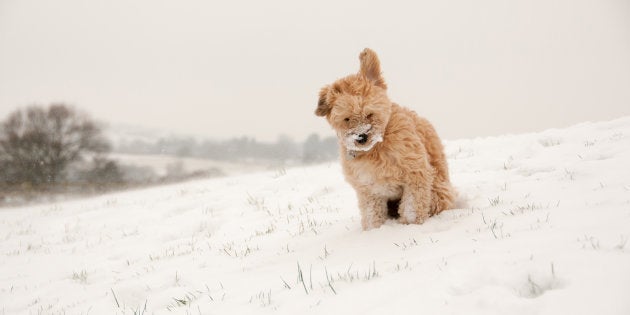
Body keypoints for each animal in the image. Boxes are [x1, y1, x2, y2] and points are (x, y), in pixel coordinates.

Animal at [318, 48, 456, 231]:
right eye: (347, 119)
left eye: (370, 114)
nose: (361, 137)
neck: (376, 147)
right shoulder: (368, 188)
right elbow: (372, 213)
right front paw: (373, 231)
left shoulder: (415, 172)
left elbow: (412, 206)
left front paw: (410, 225)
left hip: (438, 192)